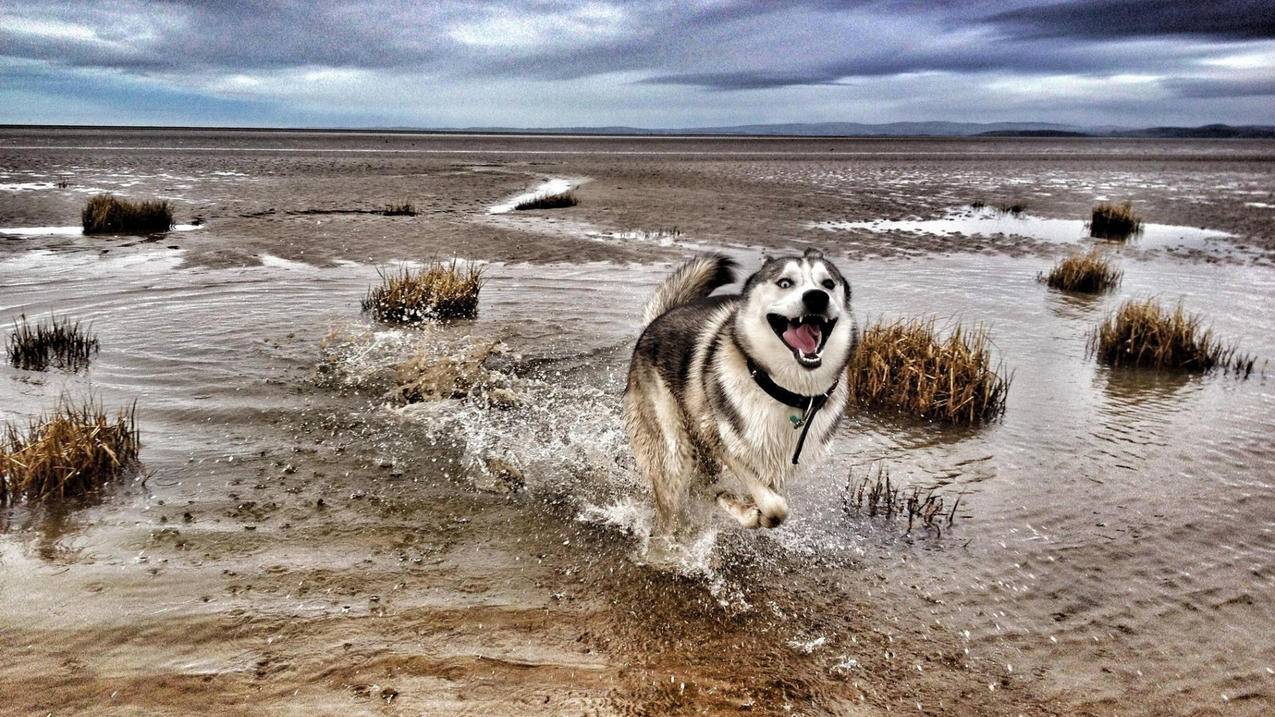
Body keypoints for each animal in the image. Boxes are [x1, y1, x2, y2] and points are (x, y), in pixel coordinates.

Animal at [624, 247, 856, 530]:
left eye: (828, 284)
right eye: (785, 283)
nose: (816, 297)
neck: (784, 389)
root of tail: (656, 321)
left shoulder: (776, 465)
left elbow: (765, 499)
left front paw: (743, 507)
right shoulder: (720, 439)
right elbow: (774, 506)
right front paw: (752, 512)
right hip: (674, 449)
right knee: (673, 497)